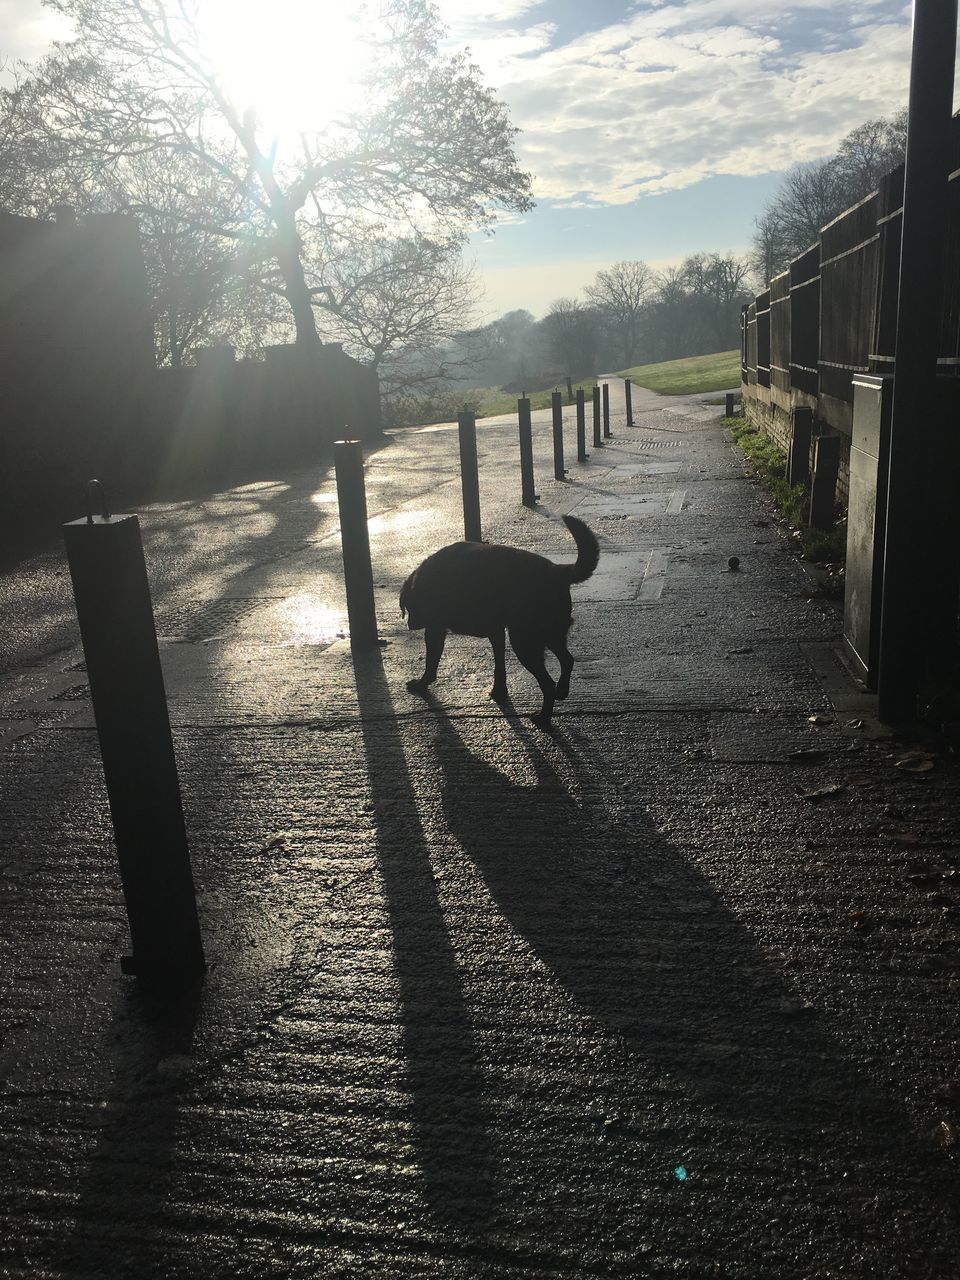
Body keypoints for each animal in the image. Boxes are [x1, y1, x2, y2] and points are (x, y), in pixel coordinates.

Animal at [399, 512, 601, 732]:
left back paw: (544, 718)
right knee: (567, 659)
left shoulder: (435, 629)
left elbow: (431, 662)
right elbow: (499, 664)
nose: (411, 625)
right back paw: (562, 690)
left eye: (409, 606)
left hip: (525, 642)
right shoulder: (496, 631)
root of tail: (555, 570)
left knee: (547, 682)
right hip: (550, 634)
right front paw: (500, 691)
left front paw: (422, 683)